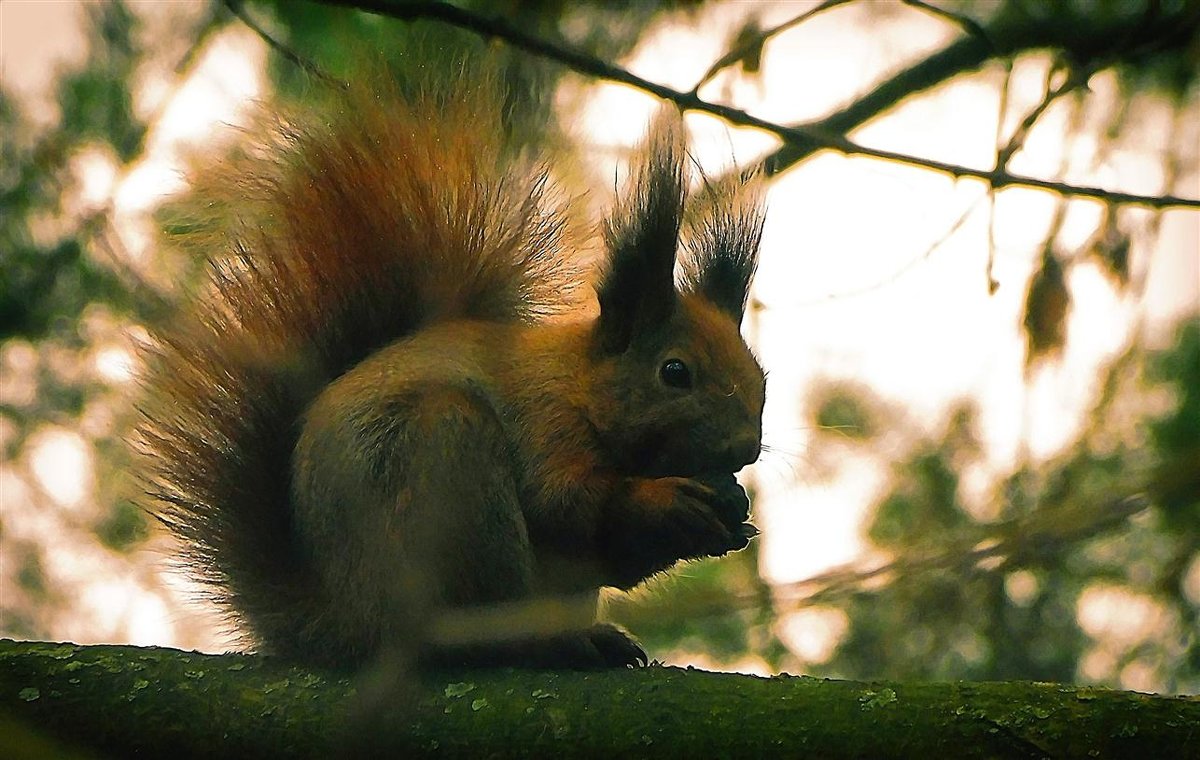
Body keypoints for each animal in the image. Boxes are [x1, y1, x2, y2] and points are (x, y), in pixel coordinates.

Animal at [136, 72, 763, 667]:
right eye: (674, 372)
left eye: (762, 380)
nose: (745, 448)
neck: (580, 387)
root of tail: (347, 627)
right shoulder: (545, 423)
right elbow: (564, 504)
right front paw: (668, 502)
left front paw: (727, 512)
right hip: (446, 464)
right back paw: (550, 643)